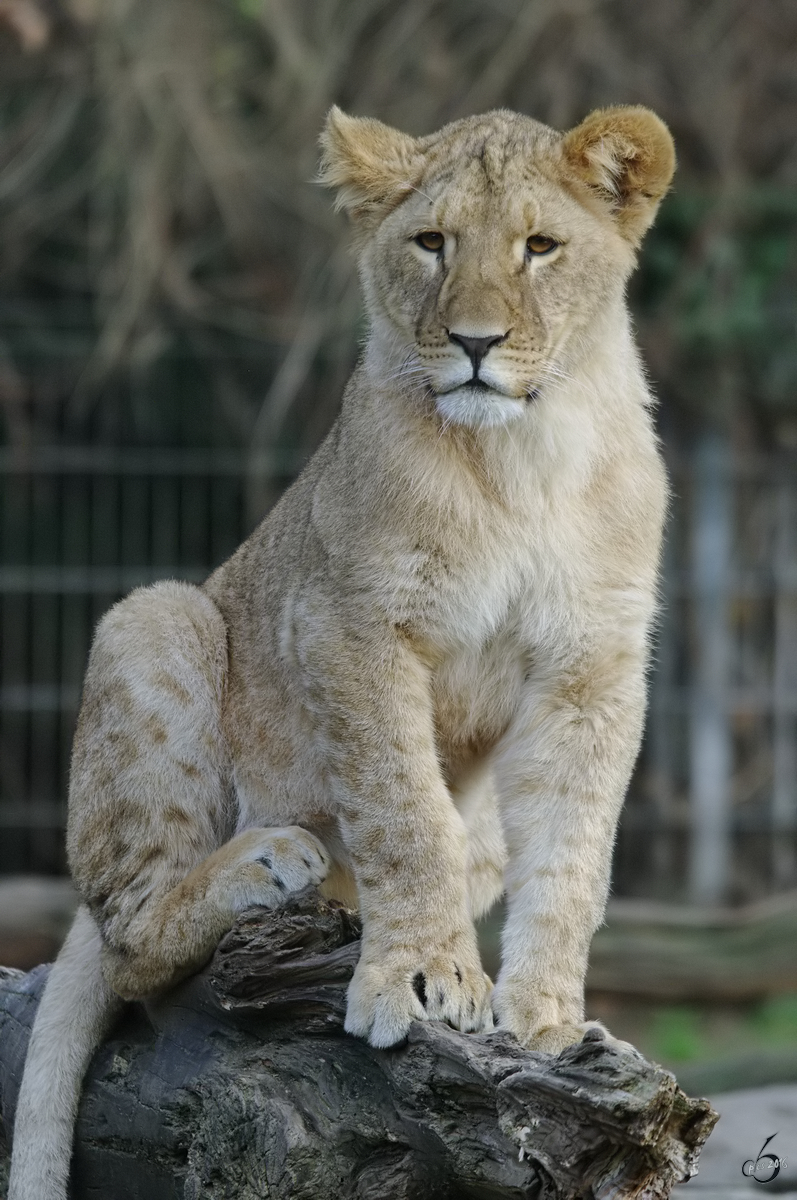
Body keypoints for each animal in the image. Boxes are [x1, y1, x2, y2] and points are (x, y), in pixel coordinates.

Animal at [10, 105, 672, 1200]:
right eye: (431, 242)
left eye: (539, 247)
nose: (476, 344)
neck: (523, 459)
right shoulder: (351, 624)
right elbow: (402, 810)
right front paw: (421, 976)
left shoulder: (593, 666)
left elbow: (574, 854)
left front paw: (546, 1019)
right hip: (157, 616)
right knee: (131, 939)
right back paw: (271, 863)